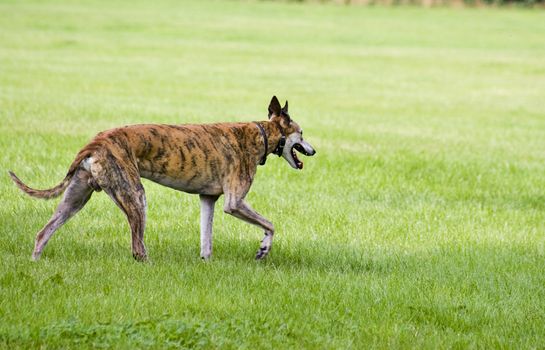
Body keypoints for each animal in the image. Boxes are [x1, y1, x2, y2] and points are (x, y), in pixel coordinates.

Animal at [8, 95, 314, 260]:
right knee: (137, 248)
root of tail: (96, 142)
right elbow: (270, 225)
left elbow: (206, 240)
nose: (314, 150)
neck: (260, 134)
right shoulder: (234, 203)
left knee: (43, 233)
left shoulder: (208, 199)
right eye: (302, 133)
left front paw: (206, 262)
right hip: (135, 196)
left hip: (75, 198)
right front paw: (263, 250)